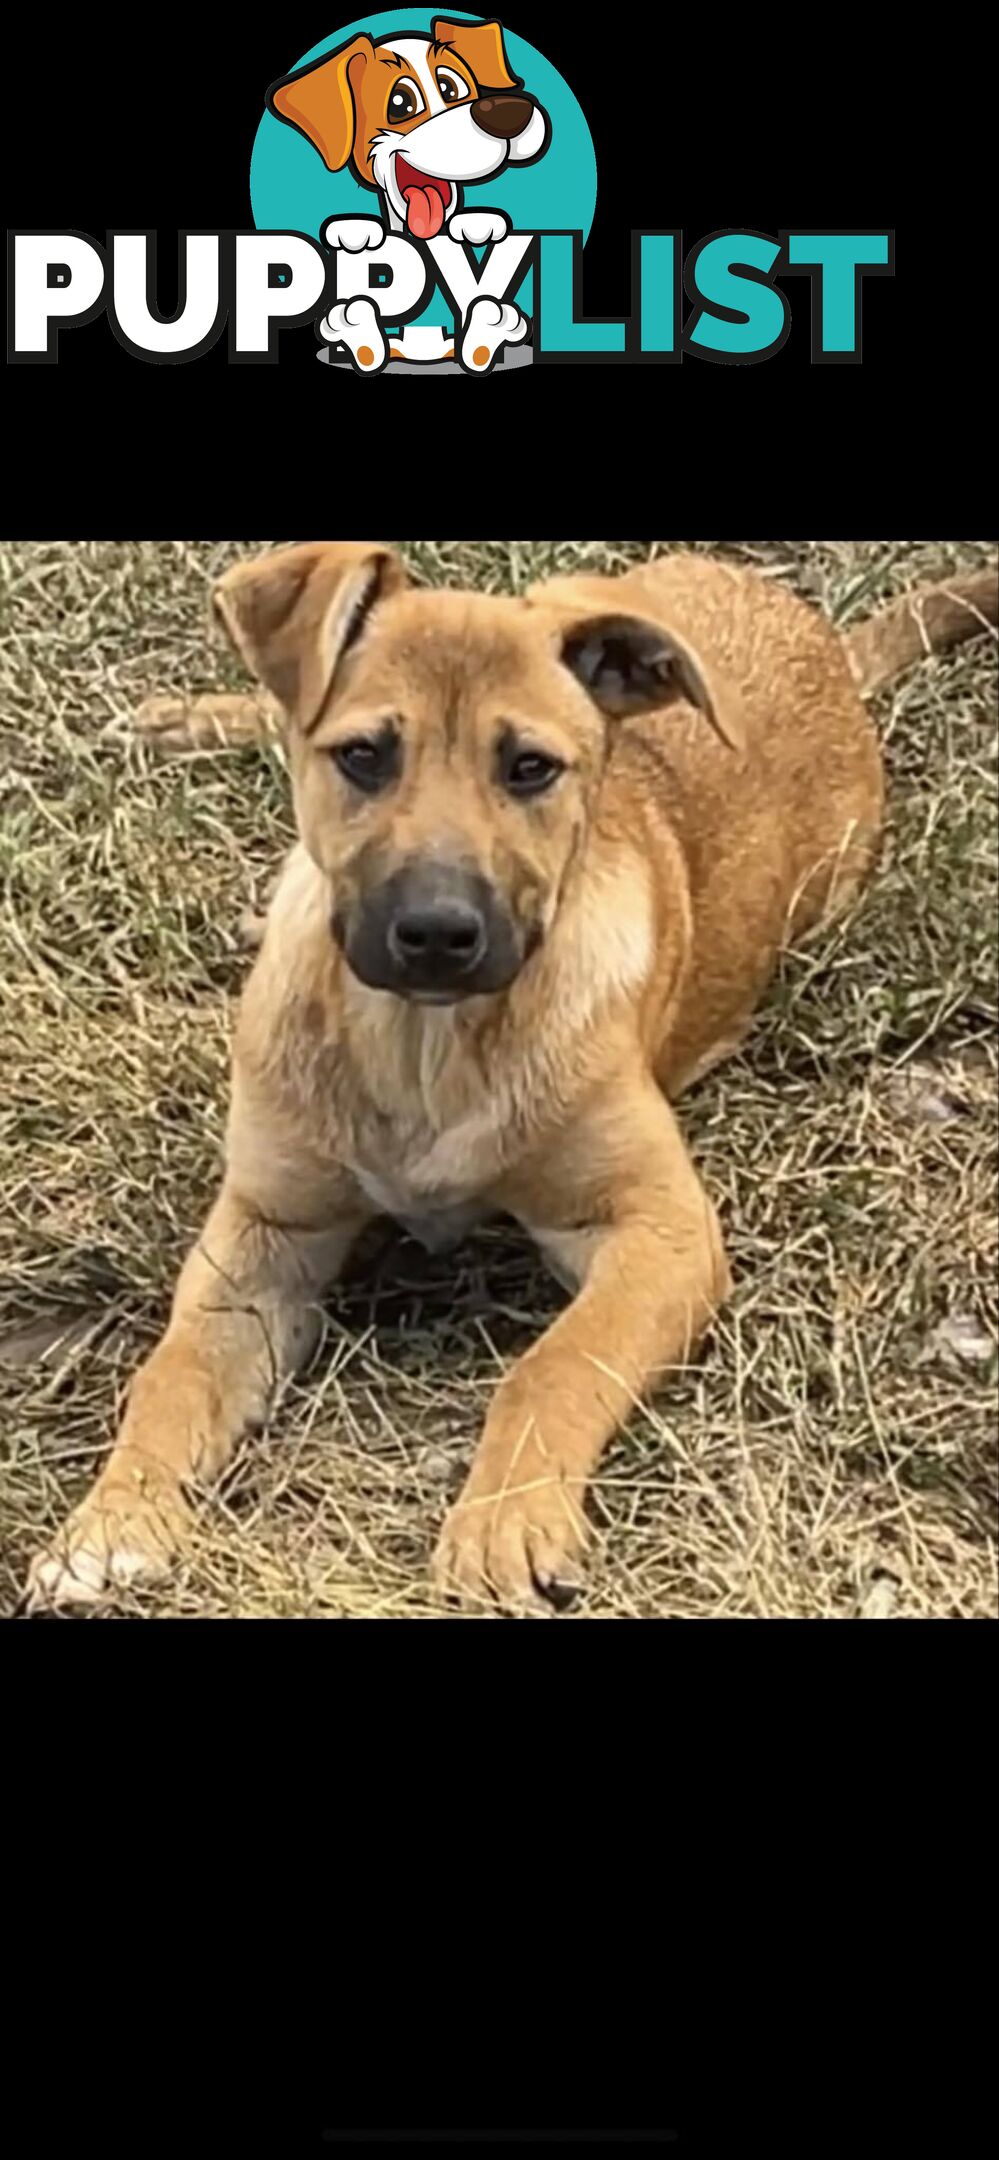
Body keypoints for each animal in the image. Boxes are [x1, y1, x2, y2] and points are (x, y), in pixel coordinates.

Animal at [25, 548, 999, 1615]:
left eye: (530, 767)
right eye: (363, 756)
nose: (437, 934)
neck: (424, 1045)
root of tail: (819, 639)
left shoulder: (659, 1230)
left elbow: (552, 1365)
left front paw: (504, 1523)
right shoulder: (265, 1232)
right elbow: (171, 1376)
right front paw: (111, 1521)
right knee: (280, 695)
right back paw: (189, 720)